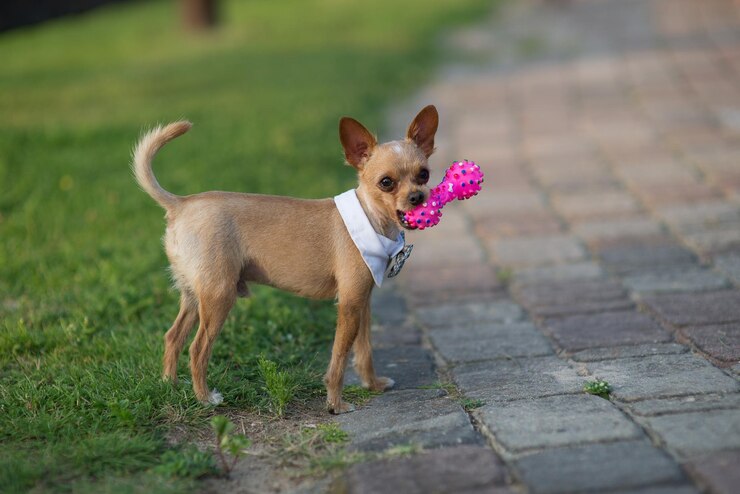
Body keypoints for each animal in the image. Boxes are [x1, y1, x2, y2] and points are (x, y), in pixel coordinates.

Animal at [132, 105, 436, 412]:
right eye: (386, 183)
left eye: (424, 174)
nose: (418, 197)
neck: (371, 217)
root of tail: (180, 204)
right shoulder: (349, 304)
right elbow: (338, 359)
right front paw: (335, 404)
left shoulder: (362, 301)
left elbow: (364, 350)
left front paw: (371, 384)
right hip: (219, 296)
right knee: (197, 348)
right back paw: (205, 397)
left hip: (195, 295)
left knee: (172, 337)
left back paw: (169, 385)